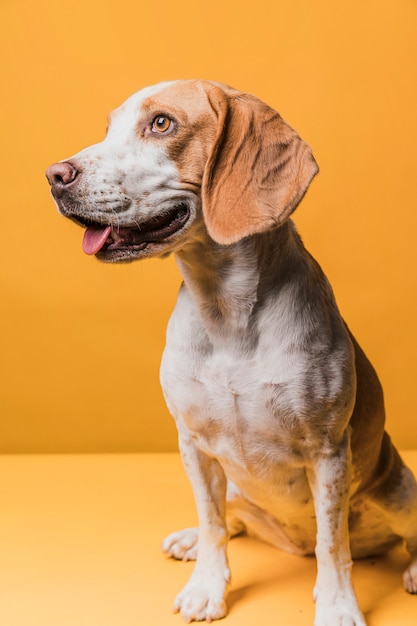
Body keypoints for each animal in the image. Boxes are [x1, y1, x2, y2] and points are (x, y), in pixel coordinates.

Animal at [46, 80, 416, 620]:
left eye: (162, 123)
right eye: (109, 127)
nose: (55, 176)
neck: (225, 312)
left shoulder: (329, 453)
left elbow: (332, 544)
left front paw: (336, 606)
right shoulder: (194, 445)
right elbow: (214, 521)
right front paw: (207, 585)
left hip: (399, 492)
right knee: (233, 517)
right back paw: (190, 539)